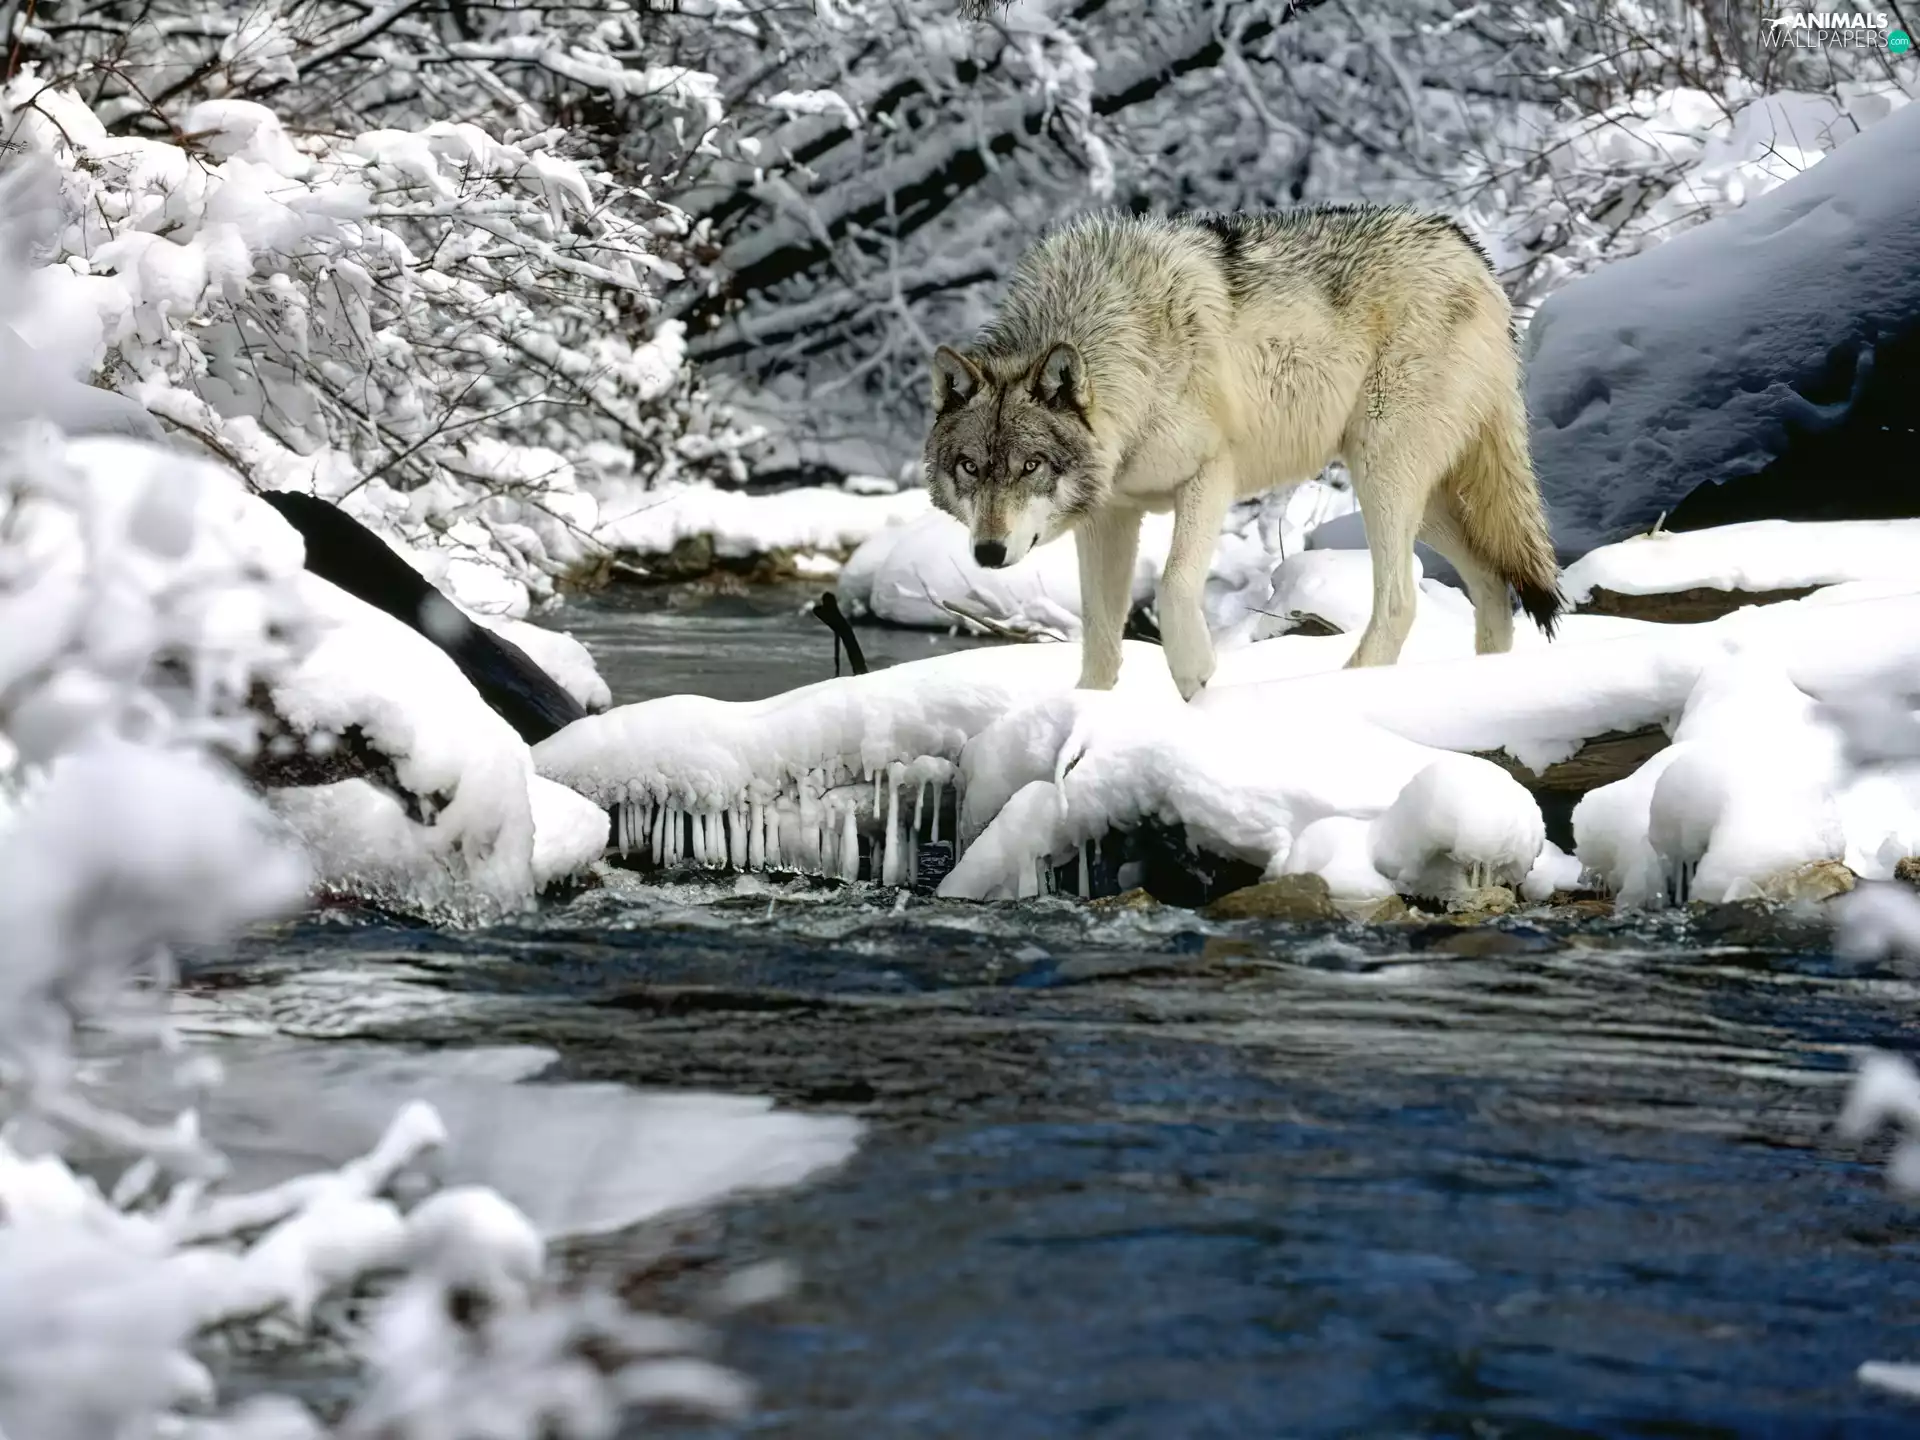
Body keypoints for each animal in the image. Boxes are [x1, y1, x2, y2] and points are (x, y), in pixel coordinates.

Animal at [920, 205, 1562, 700]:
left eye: (1030, 465)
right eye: (970, 467)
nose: (988, 552)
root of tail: (1468, 250)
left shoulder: (1210, 476)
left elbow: (1175, 583)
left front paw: (1195, 677)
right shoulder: (1109, 516)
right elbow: (1100, 630)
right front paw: (1086, 709)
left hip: (1382, 473)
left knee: (1402, 600)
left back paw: (1347, 685)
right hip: (1422, 501)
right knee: (1492, 580)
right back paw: (1483, 680)